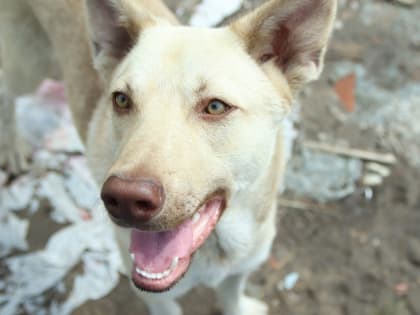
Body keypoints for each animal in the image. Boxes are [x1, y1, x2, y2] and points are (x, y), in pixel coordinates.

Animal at [0, 0, 334, 314]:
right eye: (121, 100)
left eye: (215, 106)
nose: (125, 199)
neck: (216, 248)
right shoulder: (158, 299)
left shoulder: (241, 268)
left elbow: (231, 297)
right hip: (29, 66)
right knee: (6, 90)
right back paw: (12, 147)